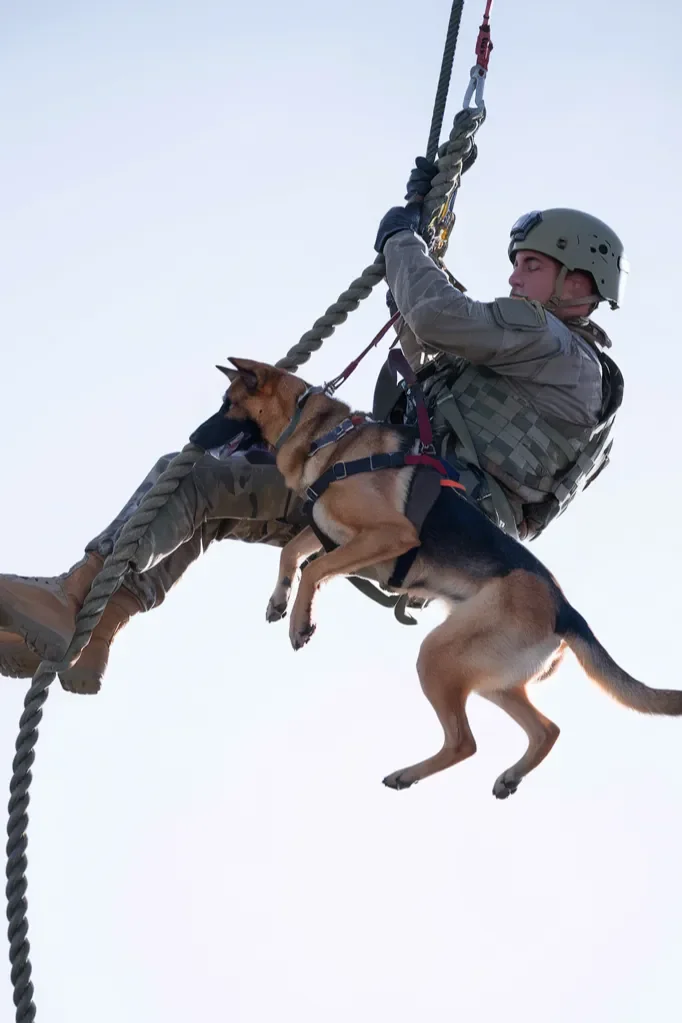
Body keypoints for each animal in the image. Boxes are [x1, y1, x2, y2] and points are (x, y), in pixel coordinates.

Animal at [218, 360, 682, 797]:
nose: (200, 439)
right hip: (489, 675)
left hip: (438, 654)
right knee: (546, 729)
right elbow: (294, 552)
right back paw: (509, 775)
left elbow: (312, 566)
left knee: (465, 742)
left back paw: (407, 774)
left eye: (227, 405)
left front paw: (301, 621)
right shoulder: (335, 534)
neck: (328, 437)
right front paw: (279, 600)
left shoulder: (391, 535)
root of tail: (566, 611)